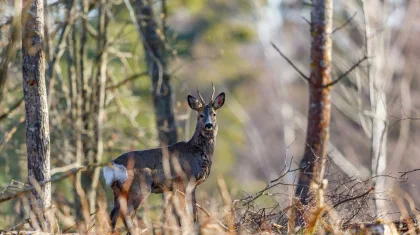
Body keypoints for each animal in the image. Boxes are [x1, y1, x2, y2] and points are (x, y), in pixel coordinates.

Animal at [103, 84, 225, 229]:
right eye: (200, 115)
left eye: (214, 114)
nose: (208, 125)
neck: (196, 152)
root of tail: (112, 166)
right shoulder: (183, 181)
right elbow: (188, 213)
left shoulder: (185, 186)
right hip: (139, 186)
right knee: (126, 215)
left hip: (118, 191)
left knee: (113, 216)